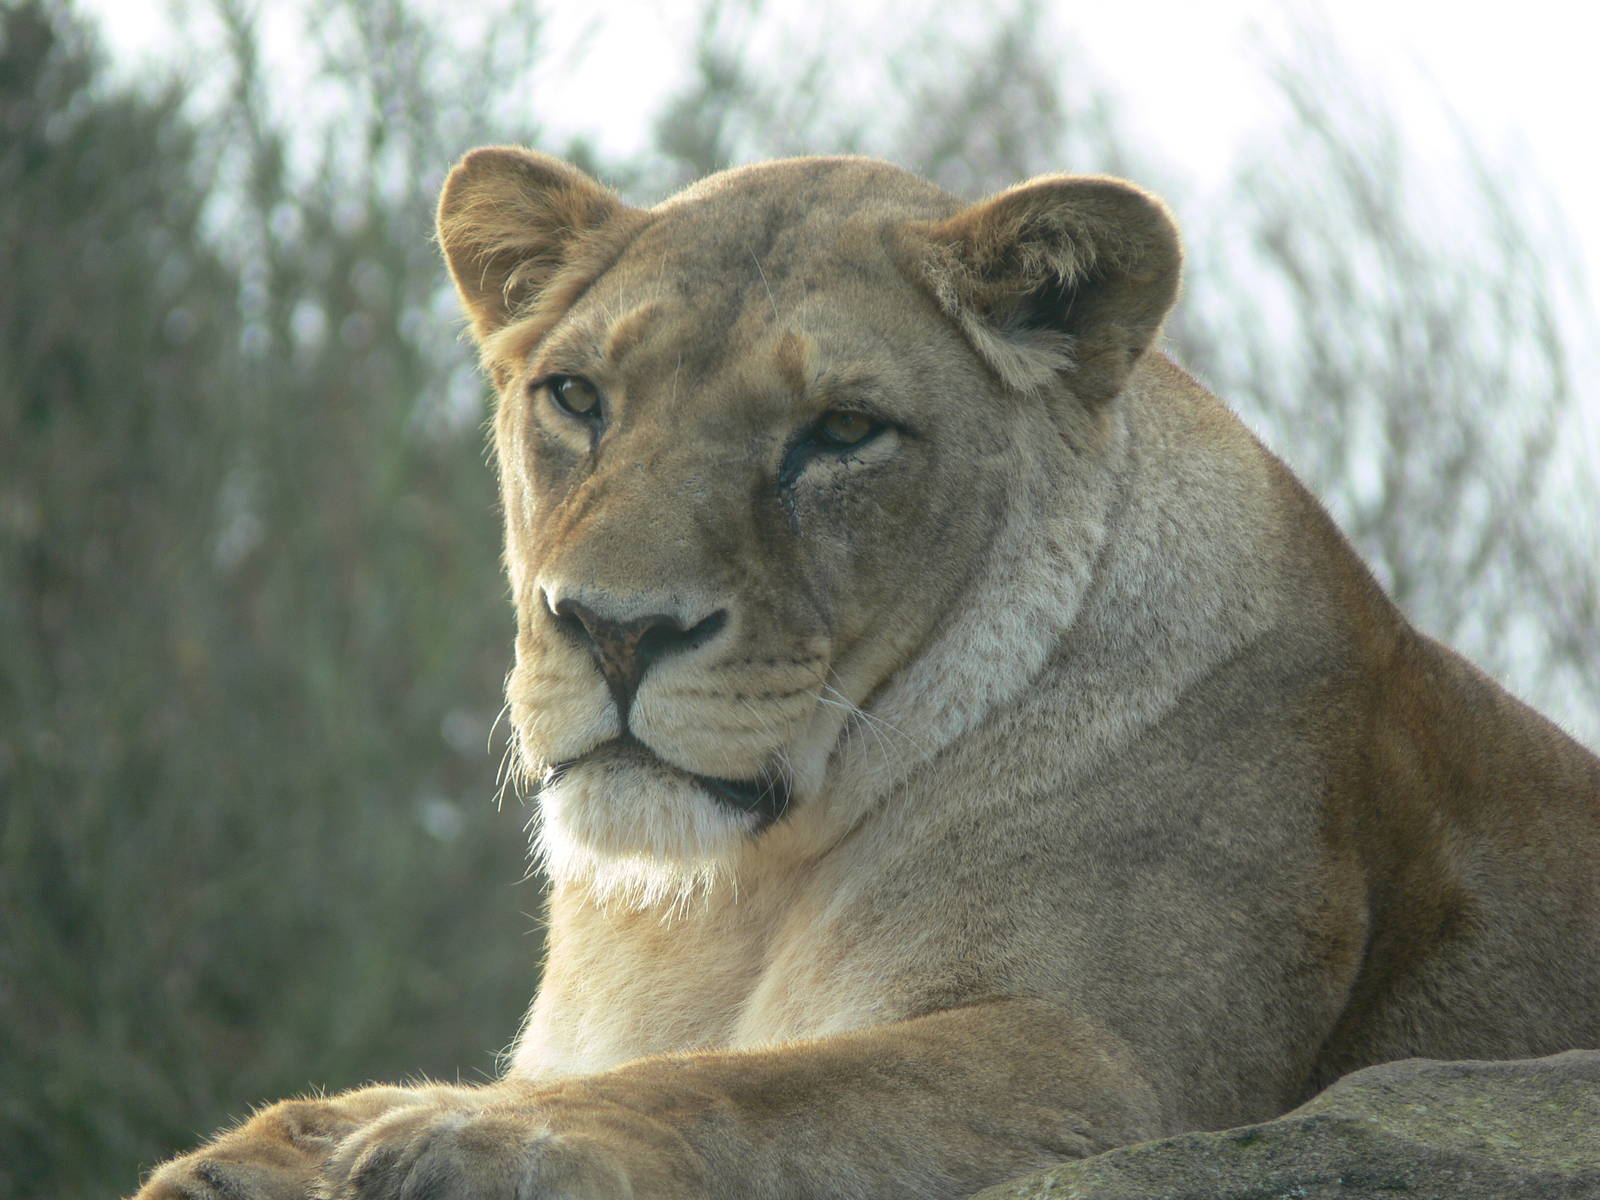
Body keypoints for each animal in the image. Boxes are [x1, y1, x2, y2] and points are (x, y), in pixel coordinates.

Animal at [133, 150, 1600, 1200]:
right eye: (577, 398)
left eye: (842, 432)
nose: (612, 629)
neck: (733, 901)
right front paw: (272, 1151)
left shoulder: (1120, 1076)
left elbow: (744, 1090)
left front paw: (441, 1146)